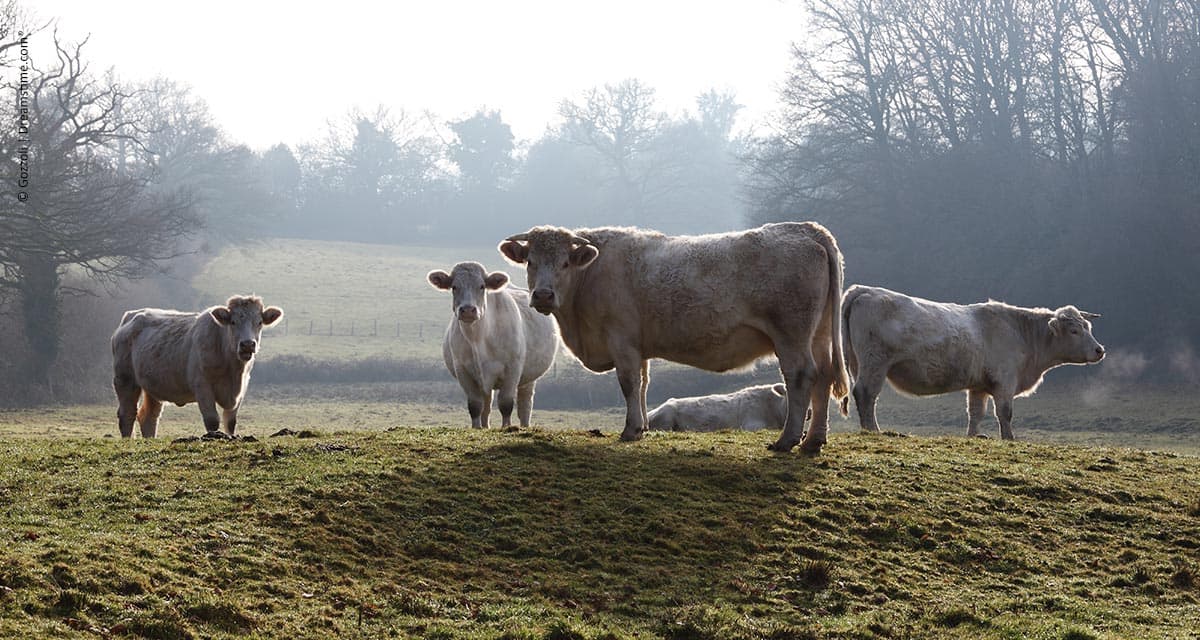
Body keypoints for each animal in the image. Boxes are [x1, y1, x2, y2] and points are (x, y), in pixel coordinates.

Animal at [110, 295, 283, 437]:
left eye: (259, 322)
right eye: (233, 322)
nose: (247, 344)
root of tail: (131, 315)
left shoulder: (242, 388)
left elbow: (231, 422)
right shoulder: (202, 385)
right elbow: (212, 420)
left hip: (153, 386)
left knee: (149, 417)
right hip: (125, 379)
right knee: (127, 414)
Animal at [429, 261, 559, 427]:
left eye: (482, 286)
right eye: (454, 287)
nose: (468, 310)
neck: (478, 339)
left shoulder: (513, 369)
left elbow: (506, 403)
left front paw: (506, 427)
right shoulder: (463, 371)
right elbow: (475, 406)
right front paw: (476, 428)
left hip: (529, 377)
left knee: (525, 404)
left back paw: (524, 425)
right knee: (486, 405)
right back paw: (485, 426)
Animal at [494, 222, 844, 451]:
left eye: (566, 262)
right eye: (530, 262)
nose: (543, 295)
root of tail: (805, 228)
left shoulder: (621, 340)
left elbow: (629, 383)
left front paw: (631, 429)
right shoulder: (638, 346)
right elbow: (643, 384)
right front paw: (643, 427)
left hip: (792, 334)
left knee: (800, 376)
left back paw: (787, 440)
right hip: (819, 334)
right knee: (824, 377)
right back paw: (813, 440)